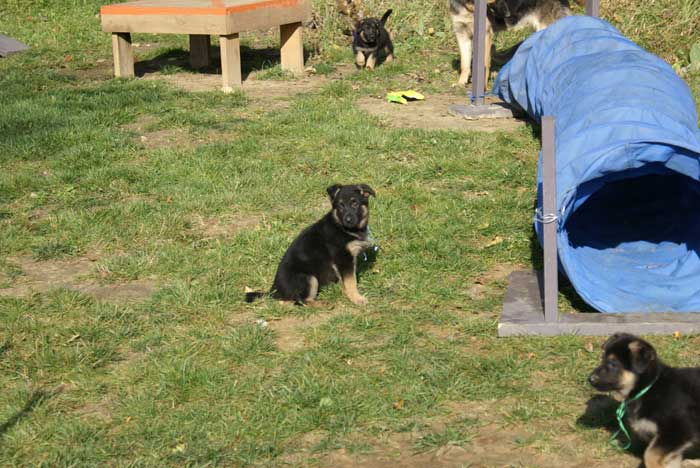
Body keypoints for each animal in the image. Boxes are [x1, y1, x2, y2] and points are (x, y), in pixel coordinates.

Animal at [246, 183, 378, 308]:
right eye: (340, 206)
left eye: (355, 203)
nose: (348, 220)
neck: (343, 228)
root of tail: (274, 290)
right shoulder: (343, 259)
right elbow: (351, 281)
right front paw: (357, 298)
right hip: (309, 278)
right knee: (300, 301)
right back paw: (323, 304)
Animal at [588, 332, 700, 468]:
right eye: (602, 360)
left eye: (613, 364)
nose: (590, 379)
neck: (649, 387)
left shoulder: (677, 430)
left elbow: (649, 454)